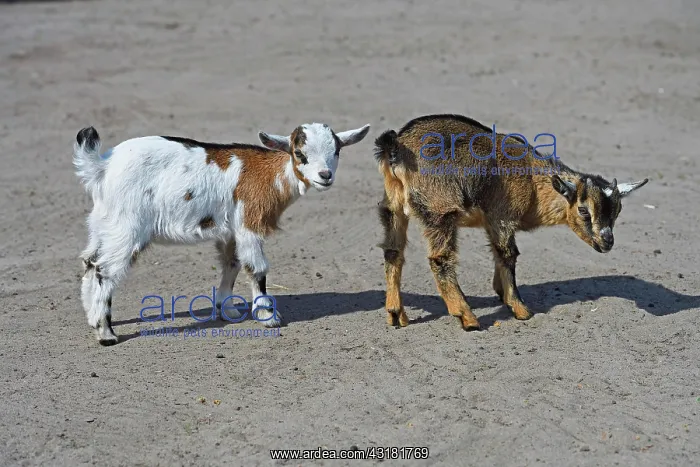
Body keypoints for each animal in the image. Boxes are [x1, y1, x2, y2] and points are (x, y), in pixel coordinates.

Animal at [74, 122, 370, 345]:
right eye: (299, 153)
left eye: (337, 151)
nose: (325, 175)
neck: (270, 174)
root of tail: (101, 167)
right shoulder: (249, 223)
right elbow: (257, 267)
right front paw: (268, 316)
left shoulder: (230, 231)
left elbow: (233, 263)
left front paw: (226, 307)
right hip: (127, 227)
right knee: (104, 271)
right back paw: (106, 333)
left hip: (103, 224)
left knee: (89, 262)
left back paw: (91, 317)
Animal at [374, 114, 648, 330]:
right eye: (583, 211)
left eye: (618, 210)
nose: (607, 242)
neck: (532, 181)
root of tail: (396, 147)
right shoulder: (502, 216)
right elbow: (508, 253)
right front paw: (519, 308)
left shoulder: (492, 223)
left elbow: (498, 253)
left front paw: (500, 292)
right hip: (440, 209)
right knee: (440, 259)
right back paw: (467, 317)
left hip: (393, 207)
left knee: (393, 251)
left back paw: (396, 314)